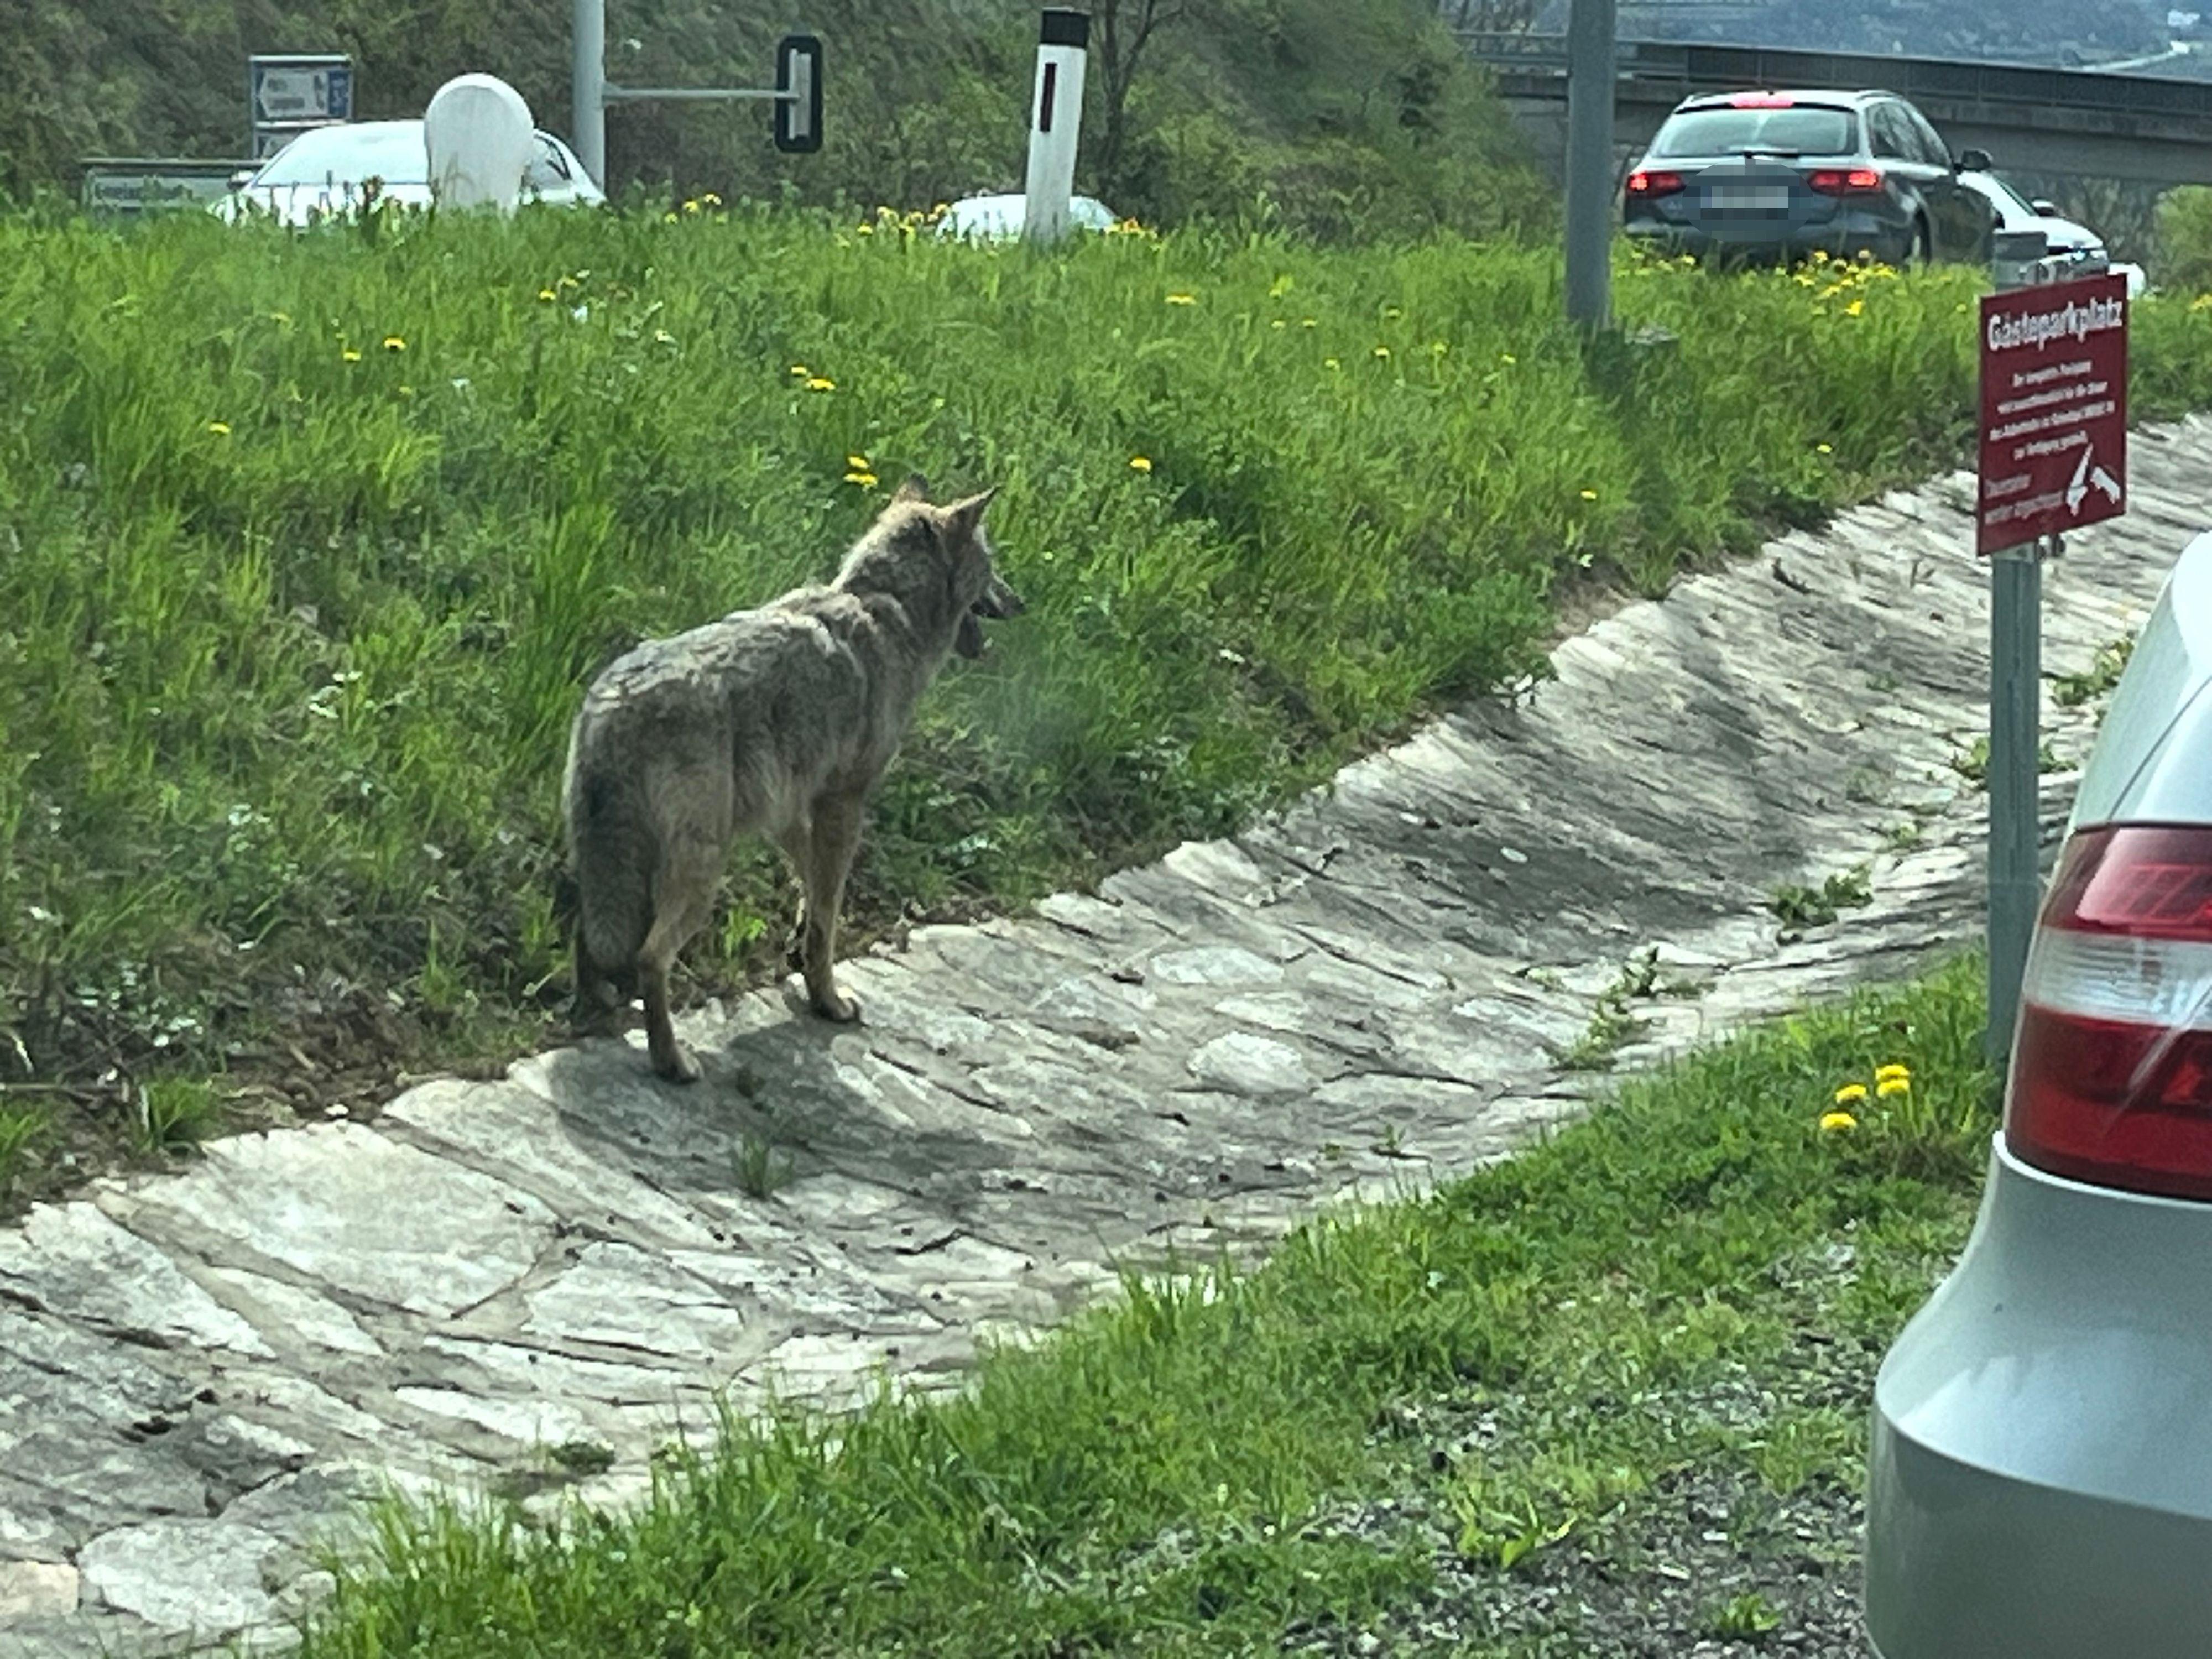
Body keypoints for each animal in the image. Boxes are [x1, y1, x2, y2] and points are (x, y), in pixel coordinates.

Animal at [561, 476, 1023, 1081]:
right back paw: (672, 1062)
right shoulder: (843, 805)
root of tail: (612, 704)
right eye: (992, 566)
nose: (1021, 603)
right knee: (650, 957)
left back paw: (594, 1011)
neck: (883, 608)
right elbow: (829, 913)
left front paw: (797, 946)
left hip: (612, 871)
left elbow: (812, 888)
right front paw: (827, 999)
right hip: (701, 872)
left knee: (586, 934)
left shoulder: (788, 809)